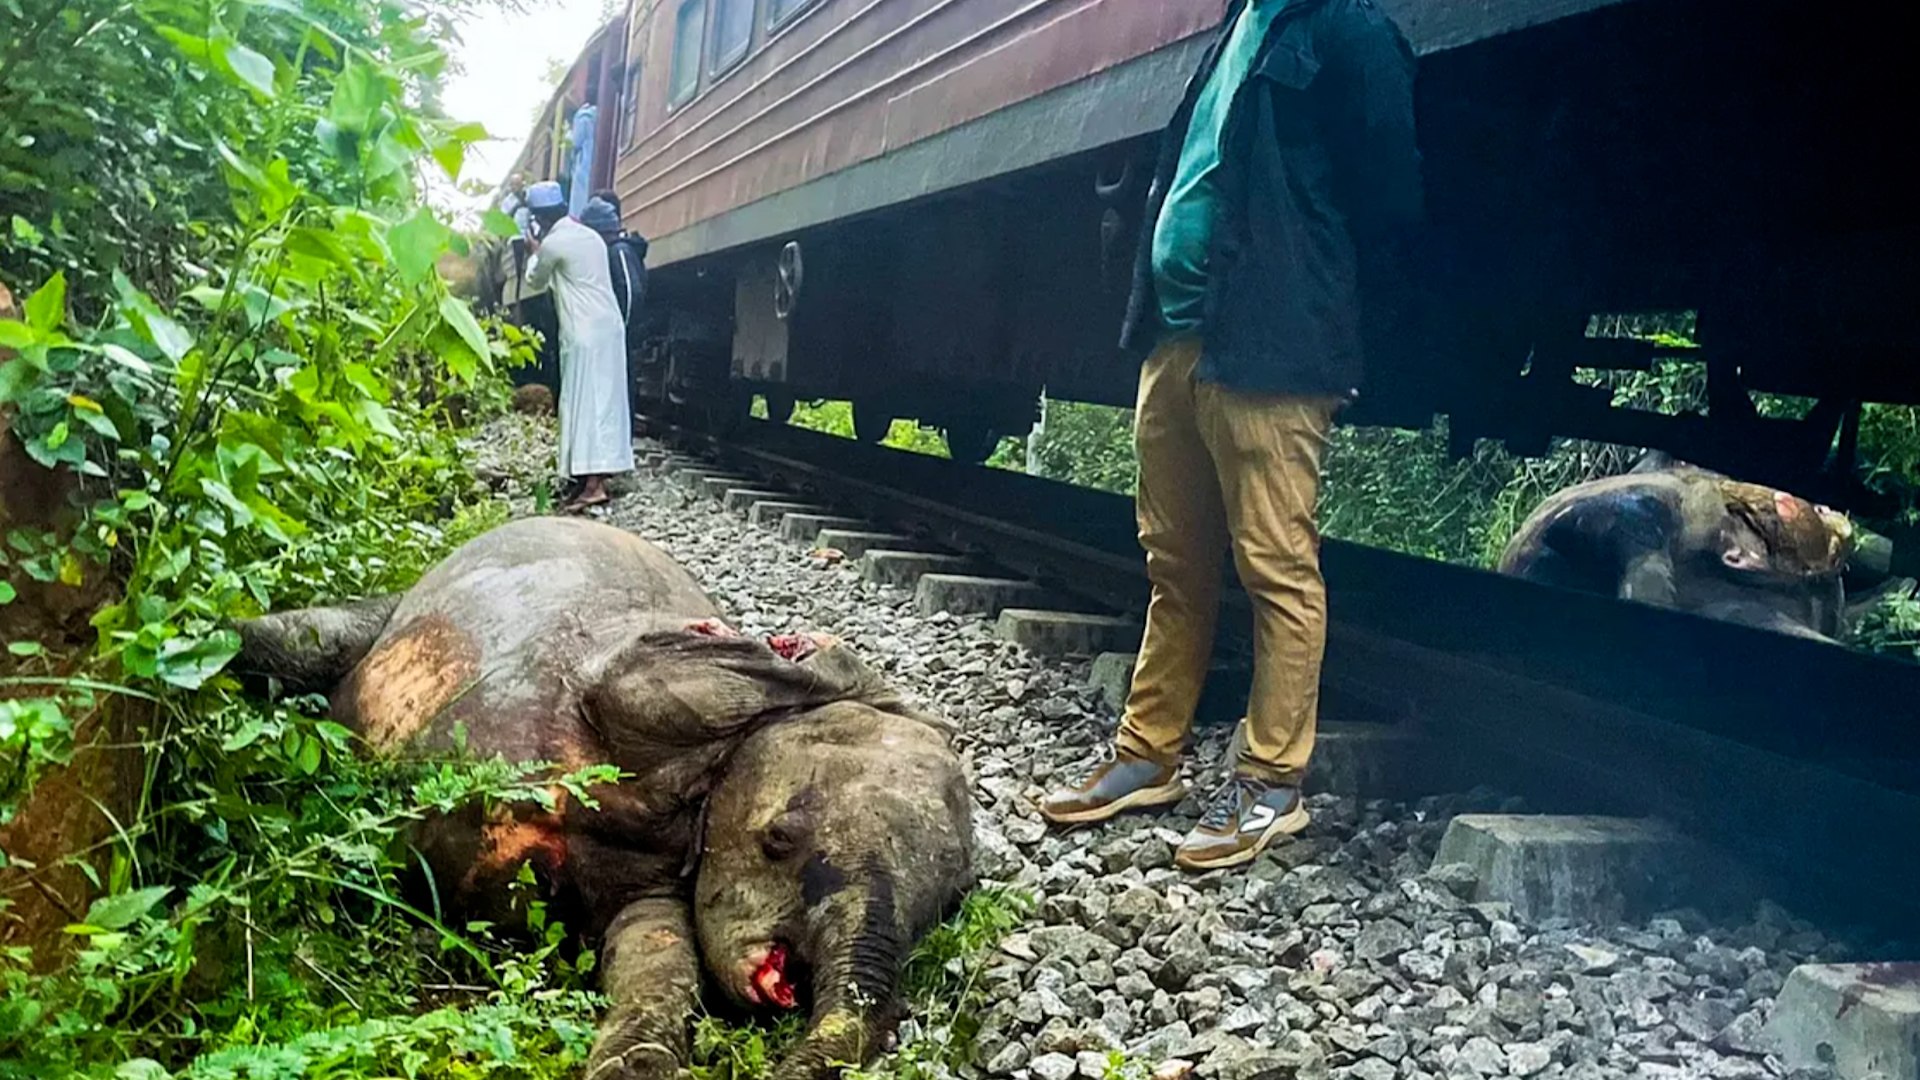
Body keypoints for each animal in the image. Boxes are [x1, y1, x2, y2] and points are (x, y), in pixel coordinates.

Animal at [233, 517, 974, 1080]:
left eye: (951, 908)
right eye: (779, 839)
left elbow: (657, 956)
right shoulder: (643, 671)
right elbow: (657, 682)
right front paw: (810, 656)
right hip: (396, 607)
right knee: (300, 640)